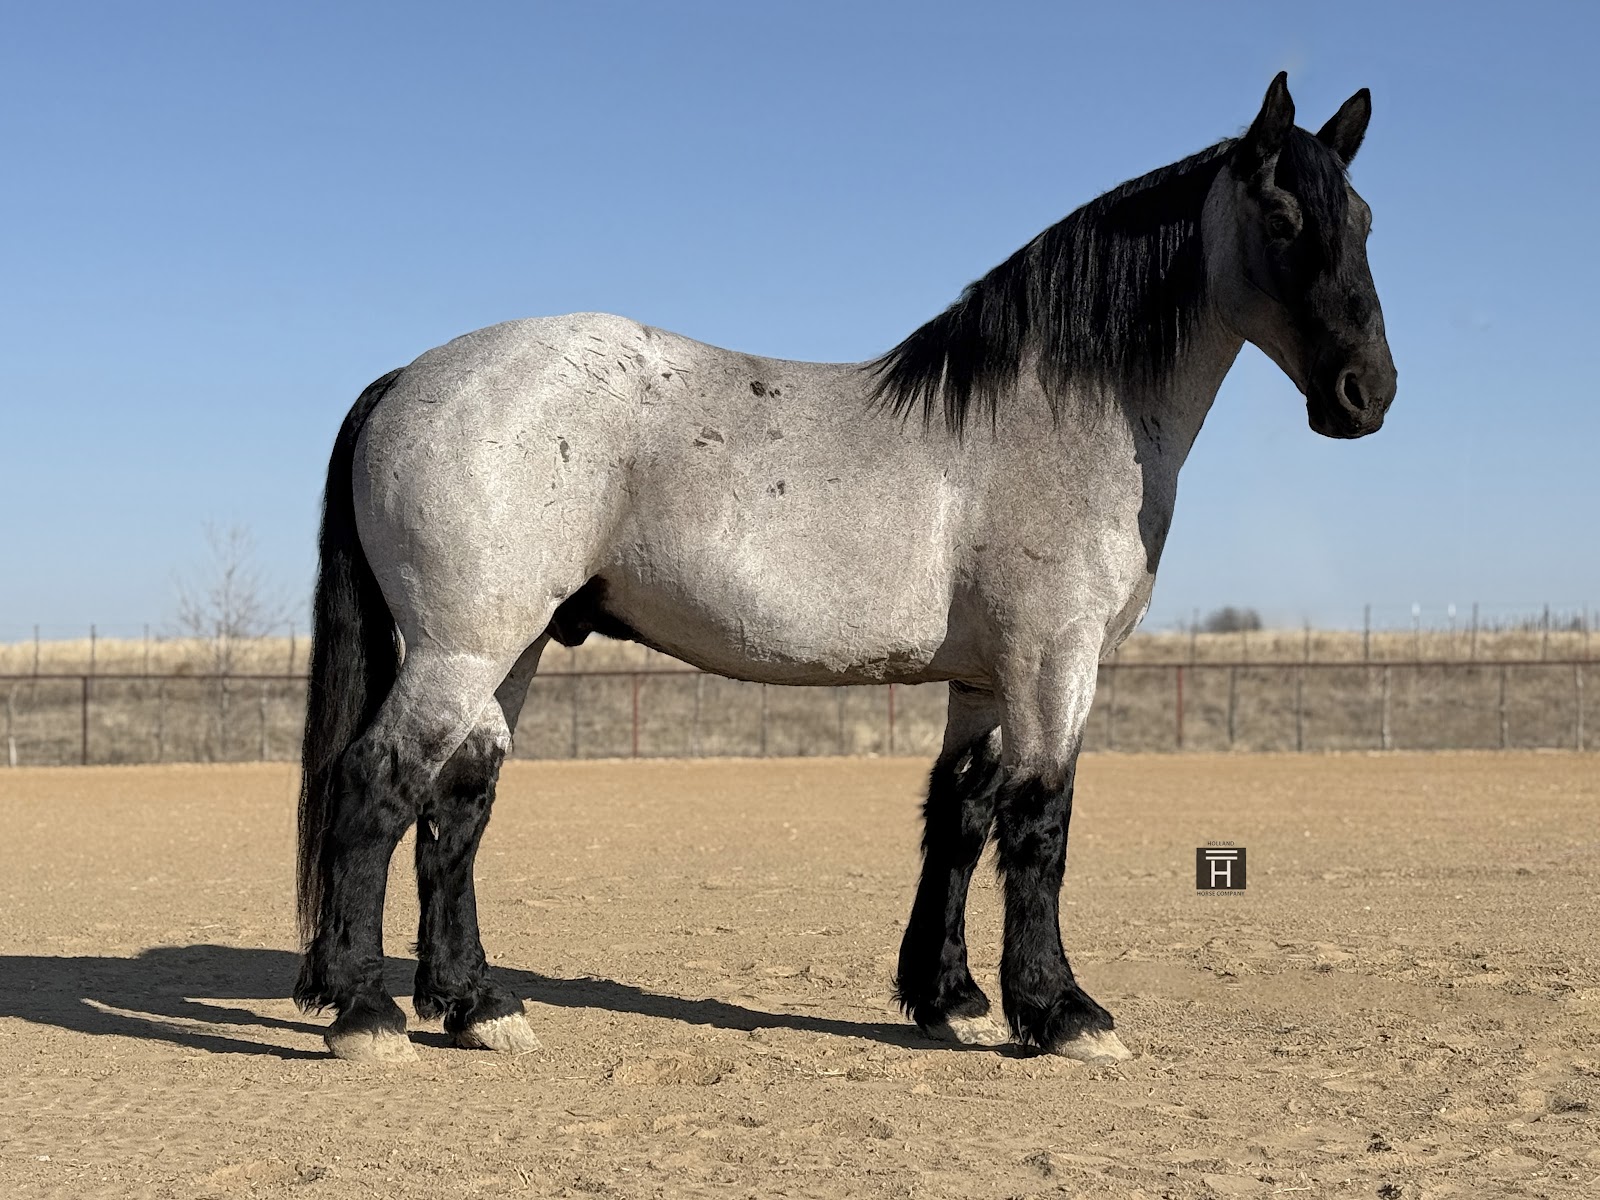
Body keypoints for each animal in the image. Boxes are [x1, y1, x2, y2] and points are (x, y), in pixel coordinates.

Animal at [293, 73, 1396, 1063]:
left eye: (1365, 218)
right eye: (1282, 212)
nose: (1367, 393)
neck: (1052, 418)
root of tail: (413, 377)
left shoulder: (984, 679)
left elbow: (961, 817)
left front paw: (952, 1002)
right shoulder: (1054, 660)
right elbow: (1040, 823)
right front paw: (1064, 1014)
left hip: (509, 648)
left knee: (457, 804)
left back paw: (477, 1006)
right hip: (460, 647)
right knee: (376, 786)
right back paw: (367, 1014)